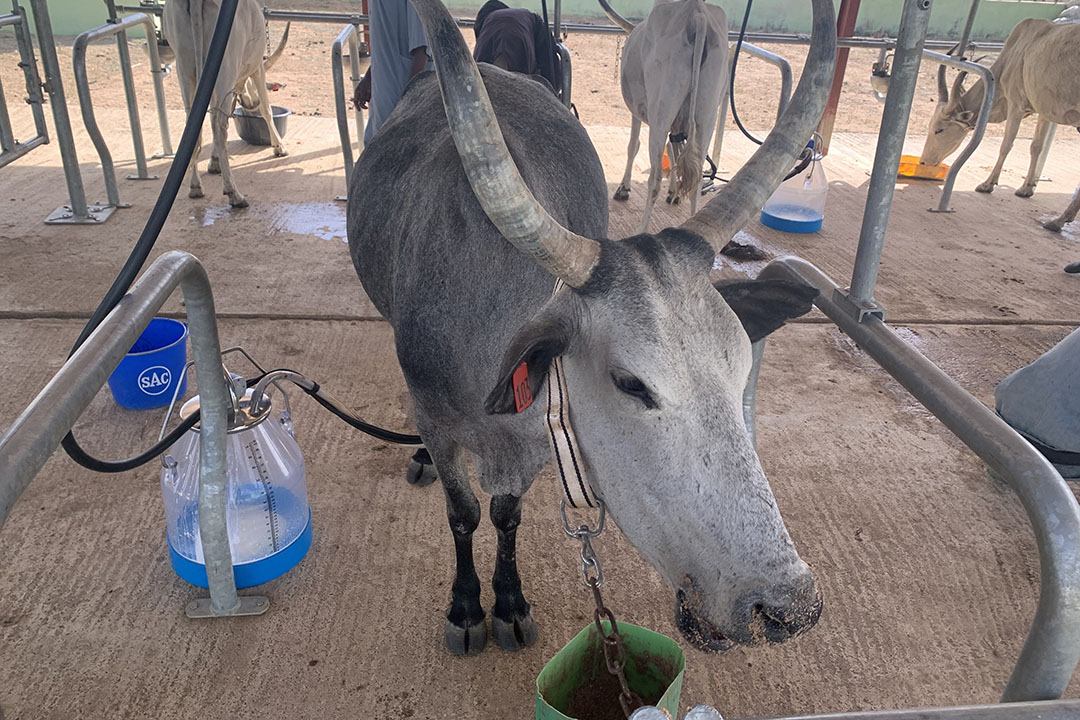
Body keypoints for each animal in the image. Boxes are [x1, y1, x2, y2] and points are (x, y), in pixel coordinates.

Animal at [345, 0, 833, 656]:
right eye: (630, 384)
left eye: (741, 367)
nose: (787, 605)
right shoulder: (439, 419)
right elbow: (463, 514)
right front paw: (467, 607)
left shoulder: (535, 443)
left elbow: (504, 515)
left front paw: (509, 601)